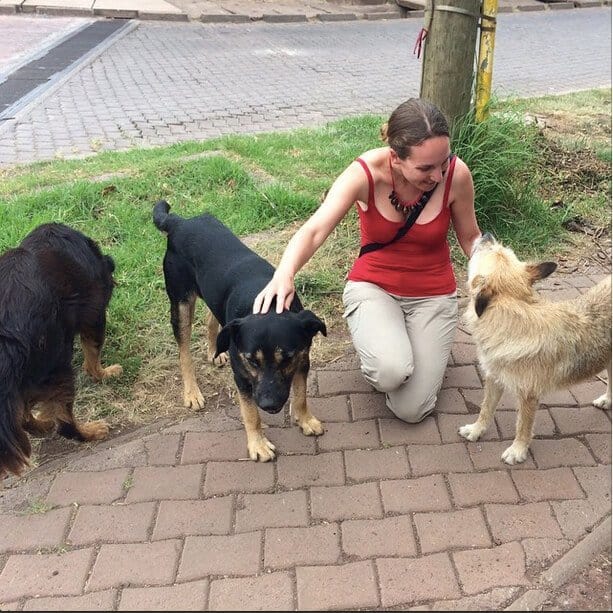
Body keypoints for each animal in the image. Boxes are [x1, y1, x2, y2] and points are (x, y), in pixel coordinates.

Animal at [0, 222, 122, 476]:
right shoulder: (94, 315)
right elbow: (92, 357)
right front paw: (104, 373)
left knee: (24, 417)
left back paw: (42, 424)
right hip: (58, 368)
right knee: (65, 425)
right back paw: (90, 431)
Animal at [152, 198, 326, 462]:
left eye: (287, 359)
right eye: (251, 361)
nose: (269, 405)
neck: (269, 305)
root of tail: (179, 222)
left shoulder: (303, 359)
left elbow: (301, 394)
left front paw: (305, 419)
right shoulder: (242, 377)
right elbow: (250, 413)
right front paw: (258, 445)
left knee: (211, 318)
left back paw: (215, 351)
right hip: (180, 302)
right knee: (183, 351)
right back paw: (192, 392)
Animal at [456, 234, 608, 464]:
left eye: (494, 250)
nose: (487, 234)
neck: (513, 316)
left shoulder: (528, 396)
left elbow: (523, 427)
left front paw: (517, 451)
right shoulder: (494, 379)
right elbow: (485, 409)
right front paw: (476, 430)